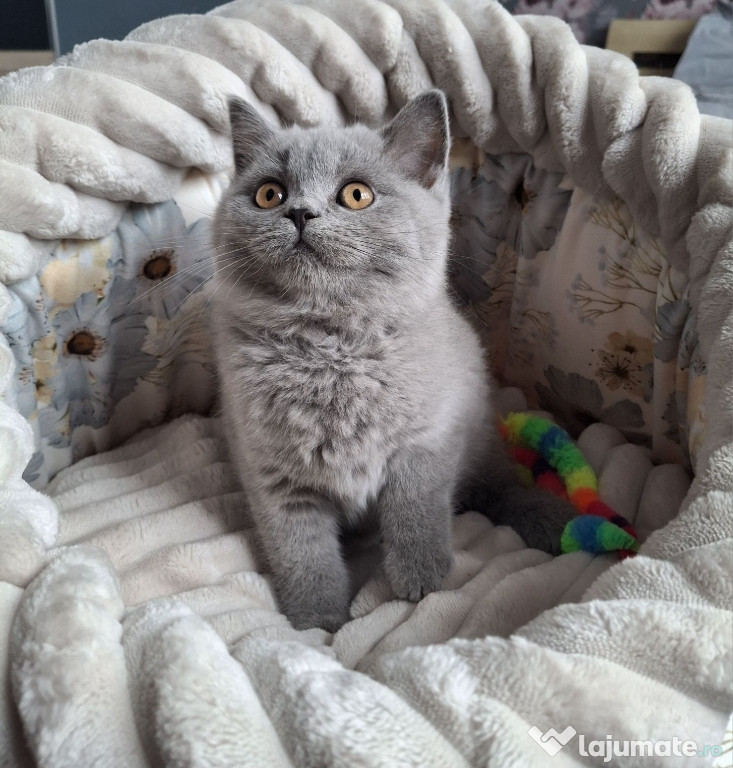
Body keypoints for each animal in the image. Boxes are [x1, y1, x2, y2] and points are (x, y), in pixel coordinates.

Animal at [209, 91, 576, 632]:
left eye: (356, 195)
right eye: (269, 195)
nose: (299, 213)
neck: (331, 346)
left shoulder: (427, 442)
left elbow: (416, 510)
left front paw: (421, 578)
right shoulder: (272, 474)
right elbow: (300, 550)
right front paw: (317, 619)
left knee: (500, 487)